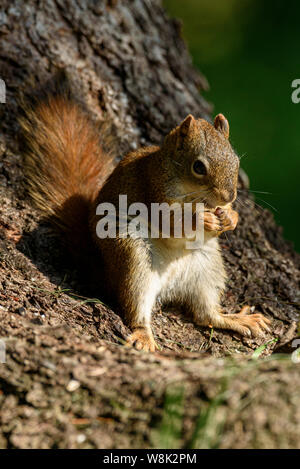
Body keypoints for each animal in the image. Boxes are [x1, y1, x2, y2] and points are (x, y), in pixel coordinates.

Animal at [19, 77, 270, 352]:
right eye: (198, 167)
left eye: (236, 161)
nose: (228, 197)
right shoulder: (153, 190)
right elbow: (172, 222)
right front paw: (201, 218)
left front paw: (230, 217)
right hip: (133, 256)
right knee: (136, 307)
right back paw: (144, 336)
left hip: (207, 264)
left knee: (206, 315)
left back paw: (236, 318)